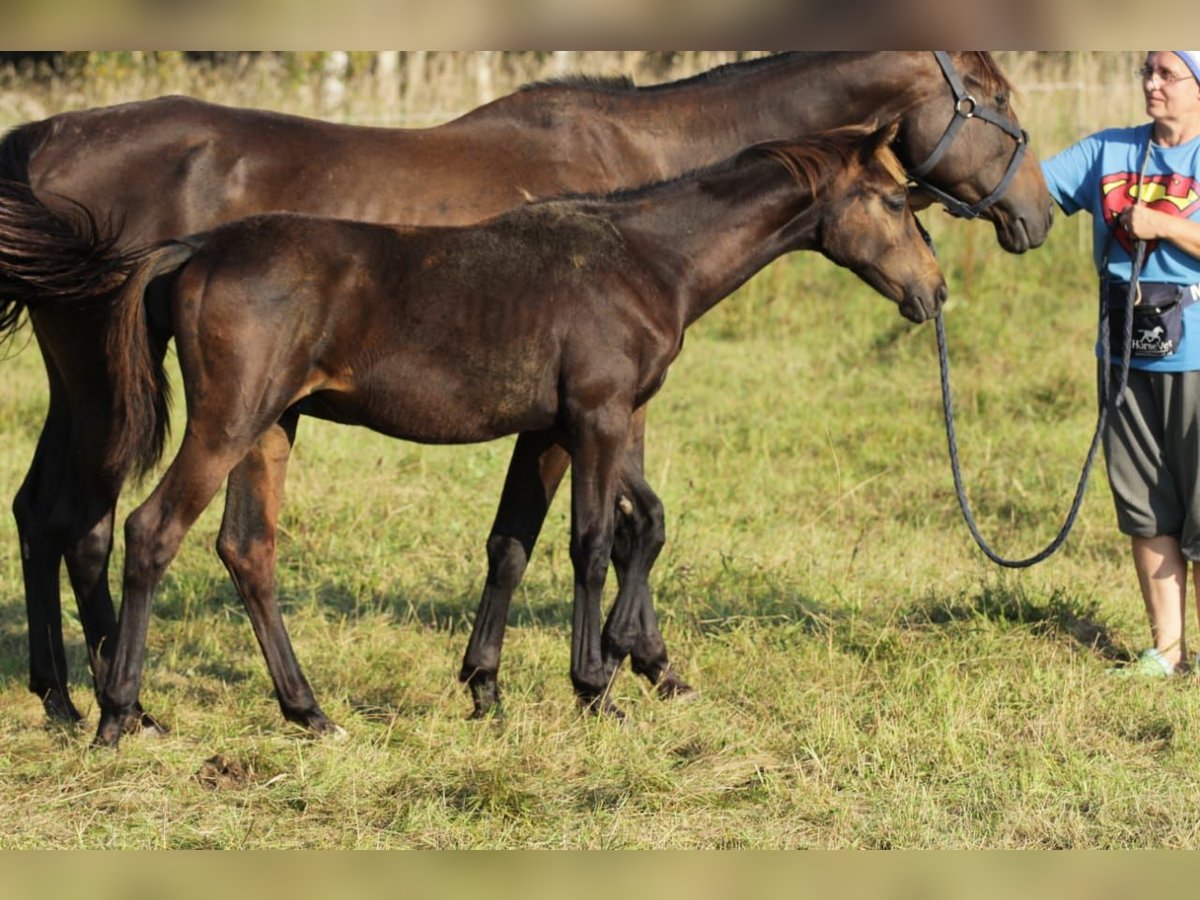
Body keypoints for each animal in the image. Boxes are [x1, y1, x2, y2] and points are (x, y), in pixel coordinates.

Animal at [0, 52, 1051, 724]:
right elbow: (601, 539)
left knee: (213, 544)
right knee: (134, 529)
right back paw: (119, 707)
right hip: (203, 416)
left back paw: (276, 710)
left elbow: (541, 539)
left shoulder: (558, 427)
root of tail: (194, 250)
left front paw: (502, 684)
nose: (934, 291)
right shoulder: (601, 415)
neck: (641, 249)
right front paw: (608, 679)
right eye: (892, 202)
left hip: (260, 425)